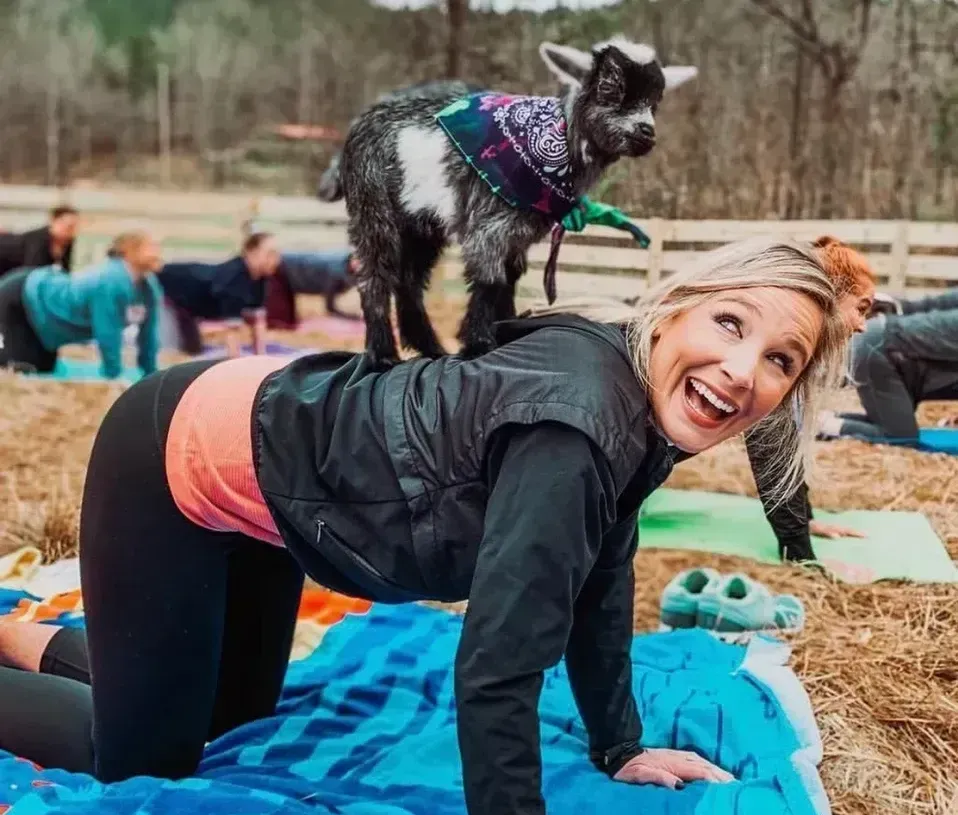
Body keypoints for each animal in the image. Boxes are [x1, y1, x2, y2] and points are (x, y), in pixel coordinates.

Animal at [340, 39, 696, 364]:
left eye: (656, 102)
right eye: (609, 87)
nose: (646, 132)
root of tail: (358, 127)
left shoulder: (519, 232)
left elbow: (510, 278)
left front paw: (506, 325)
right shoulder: (489, 225)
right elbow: (490, 278)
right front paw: (478, 343)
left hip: (421, 222)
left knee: (409, 280)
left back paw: (429, 347)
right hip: (373, 206)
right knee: (375, 275)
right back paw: (383, 354)